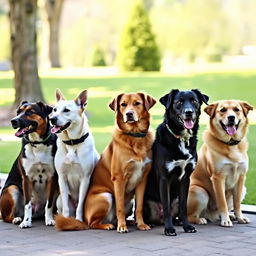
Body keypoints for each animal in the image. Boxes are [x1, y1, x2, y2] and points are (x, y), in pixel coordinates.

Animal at [50, 89, 99, 225]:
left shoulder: (85, 179)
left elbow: (80, 205)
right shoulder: (62, 178)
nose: (52, 119)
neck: (72, 143)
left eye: (66, 110)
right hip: (59, 200)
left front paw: (78, 220)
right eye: (54, 109)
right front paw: (65, 220)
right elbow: (66, 206)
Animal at [54, 92, 156, 232]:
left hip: (129, 202)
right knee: (92, 223)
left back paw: (128, 222)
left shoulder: (142, 179)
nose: (129, 114)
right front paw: (122, 227)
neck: (133, 136)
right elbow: (119, 207)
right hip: (106, 196)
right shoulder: (119, 179)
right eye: (123, 104)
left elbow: (139, 207)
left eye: (137, 103)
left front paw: (141, 224)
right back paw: (109, 225)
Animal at [143, 90, 209, 236]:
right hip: (146, 202)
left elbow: (184, 208)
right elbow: (167, 207)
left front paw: (187, 226)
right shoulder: (164, 178)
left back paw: (177, 222)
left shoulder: (186, 179)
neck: (181, 139)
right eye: (179, 102)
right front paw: (169, 229)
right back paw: (150, 223)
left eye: (194, 101)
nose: (189, 112)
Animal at [187, 99, 253, 227]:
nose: (231, 117)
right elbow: (222, 202)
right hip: (199, 191)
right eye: (222, 110)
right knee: (189, 217)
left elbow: (237, 203)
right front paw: (225, 220)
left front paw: (240, 217)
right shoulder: (218, 178)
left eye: (236, 109)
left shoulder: (241, 177)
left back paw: (232, 216)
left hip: (243, 189)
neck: (231, 144)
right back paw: (200, 219)